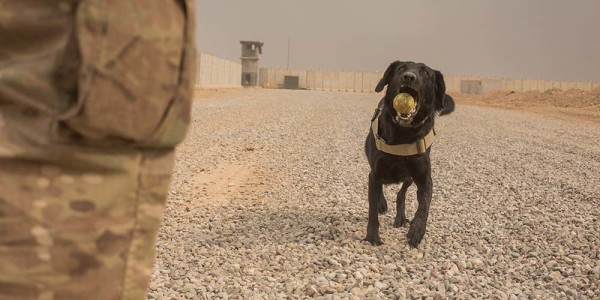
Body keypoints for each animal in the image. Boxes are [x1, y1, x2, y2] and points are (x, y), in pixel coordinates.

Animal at [364, 60, 452, 246]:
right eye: (401, 68)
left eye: (426, 73)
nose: (409, 77)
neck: (402, 133)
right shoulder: (374, 173)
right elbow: (372, 208)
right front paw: (373, 236)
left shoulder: (425, 179)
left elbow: (424, 206)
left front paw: (417, 230)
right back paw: (383, 205)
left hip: (409, 177)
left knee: (401, 193)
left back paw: (401, 217)